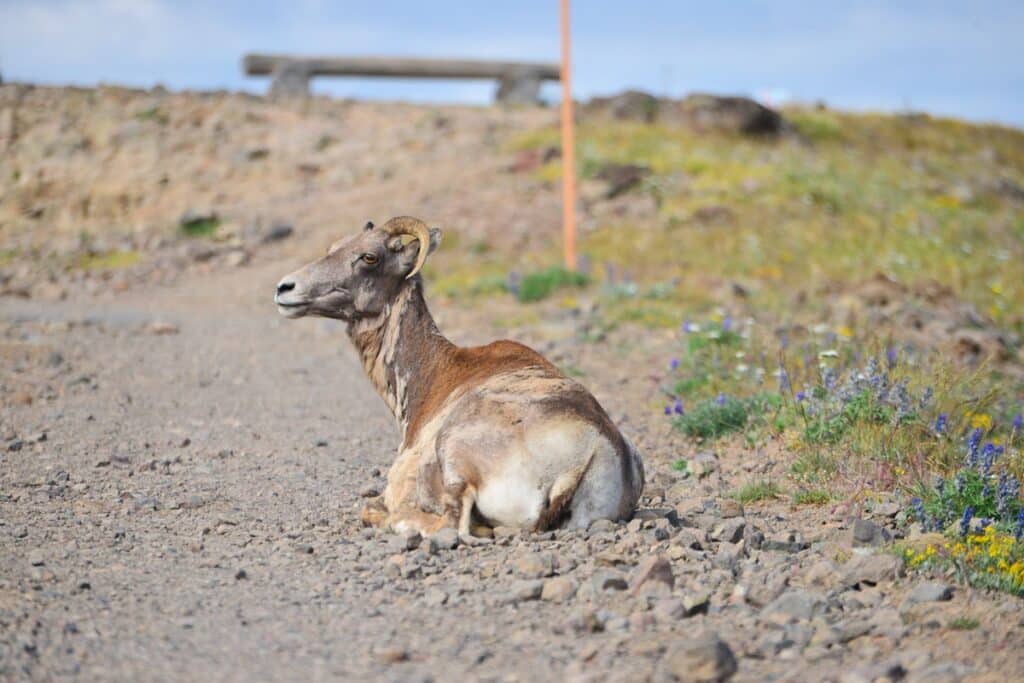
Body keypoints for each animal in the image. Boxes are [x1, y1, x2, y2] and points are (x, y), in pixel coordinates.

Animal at [276, 216, 643, 540]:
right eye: (334, 247)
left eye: (369, 257)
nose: (285, 288)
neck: (434, 376)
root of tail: (590, 452)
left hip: (455, 457)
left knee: (453, 524)